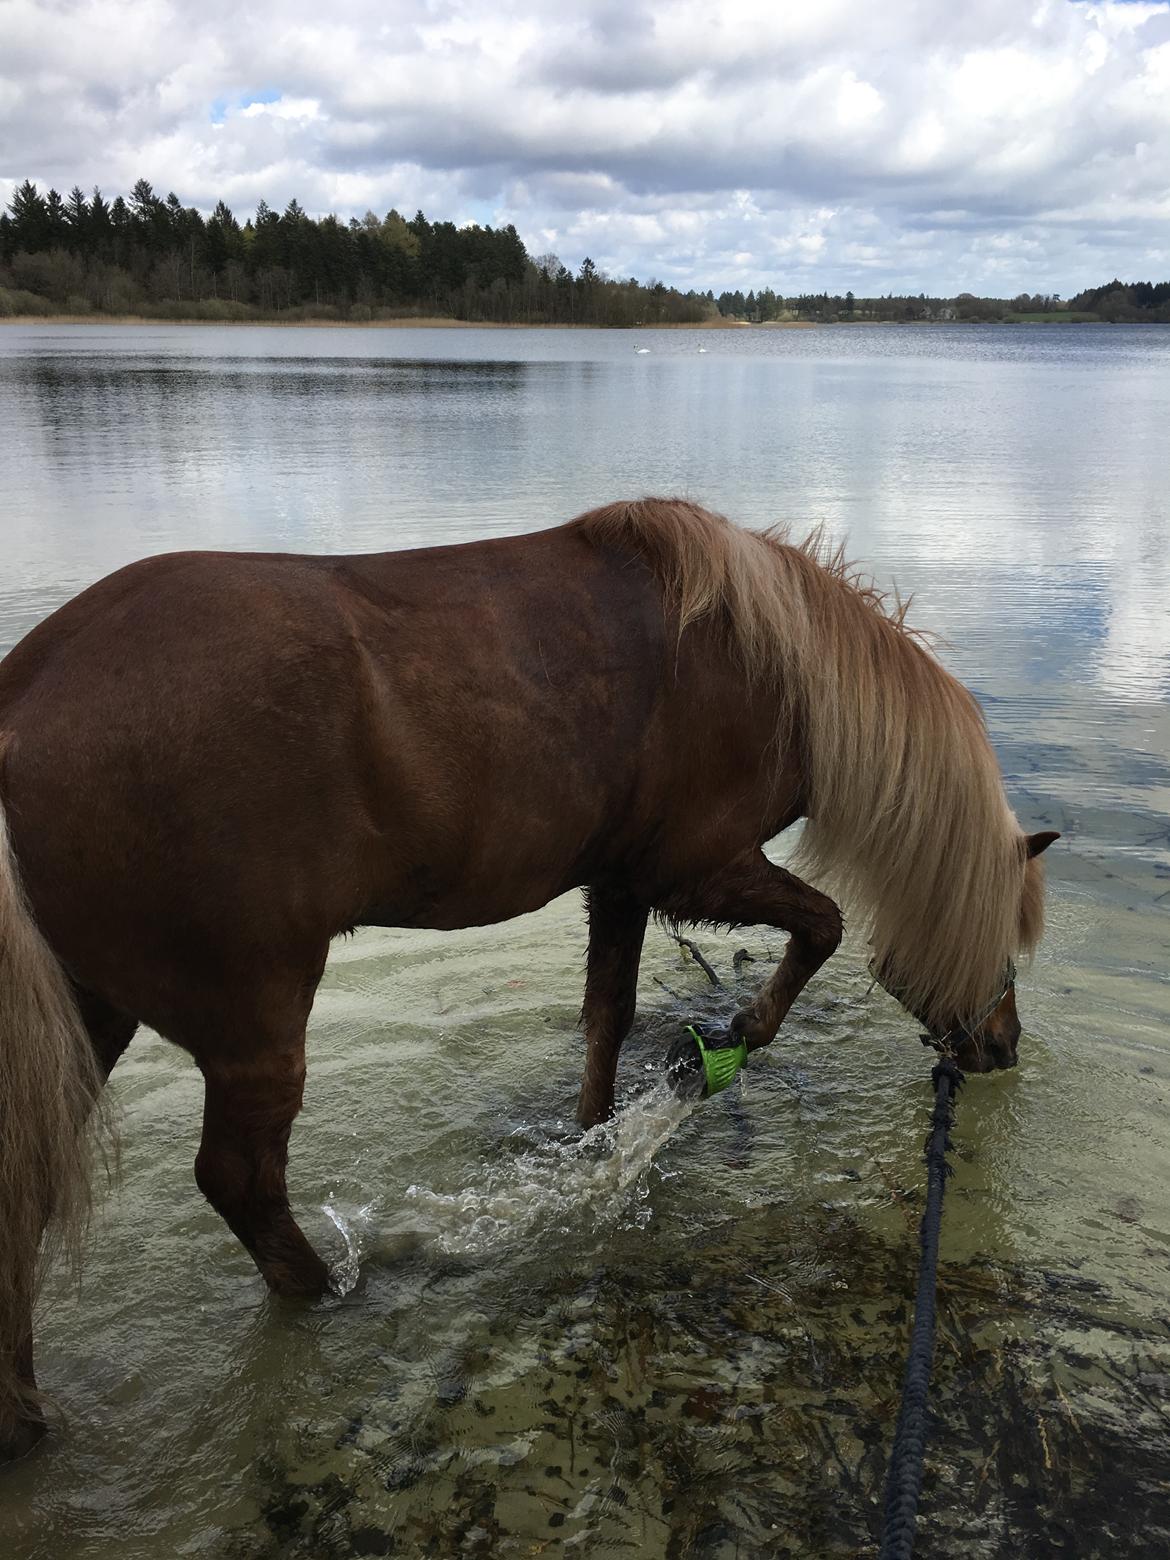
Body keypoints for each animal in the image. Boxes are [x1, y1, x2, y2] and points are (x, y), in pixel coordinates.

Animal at [0, 502, 1060, 1460]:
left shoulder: (622, 881)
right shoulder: (696, 867)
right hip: (253, 1016)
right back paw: (334, 1294)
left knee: (29, 1189)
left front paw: (593, 1142)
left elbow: (606, 1018)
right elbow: (822, 928)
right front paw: (727, 1045)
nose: (1001, 1048)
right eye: (1007, 936)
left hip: (92, 1018)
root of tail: (25, 697)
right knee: (239, 1181)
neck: (772, 669)